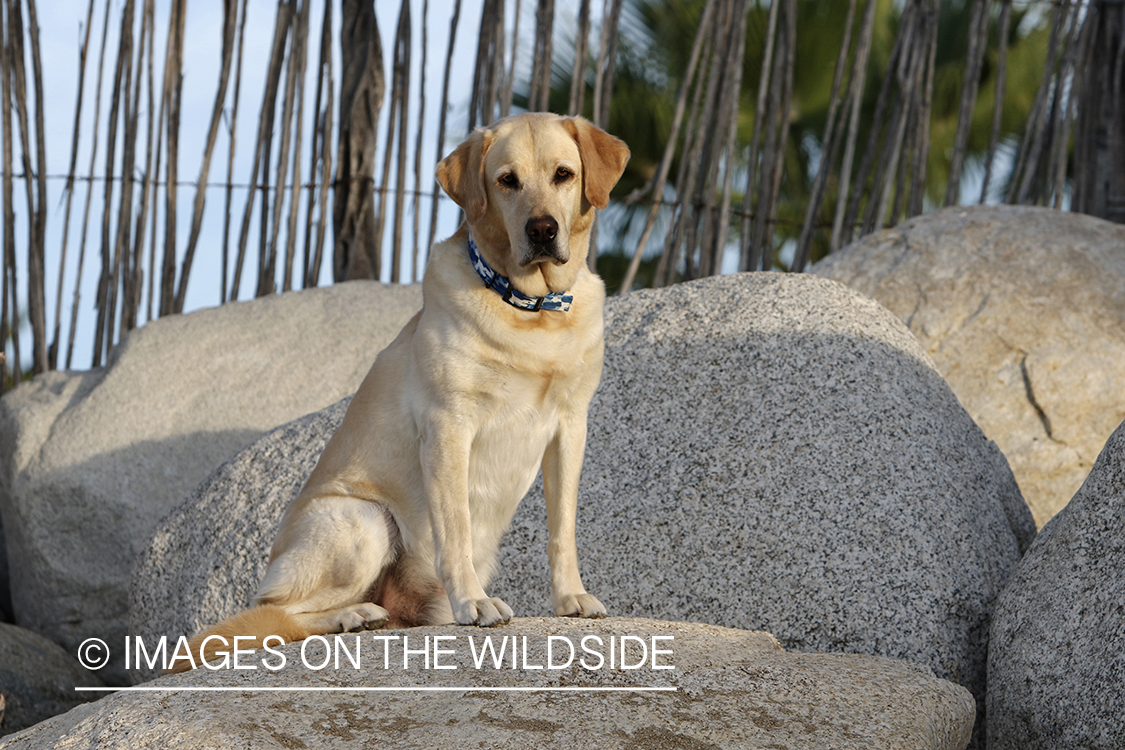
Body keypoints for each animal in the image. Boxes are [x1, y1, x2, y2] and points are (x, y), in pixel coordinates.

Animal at [172, 114, 634, 670]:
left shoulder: (569, 428)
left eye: (564, 174)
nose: (542, 230)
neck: (530, 311)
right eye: (507, 180)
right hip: (364, 520)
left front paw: (570, 598)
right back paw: (351, 616)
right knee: (278, 612)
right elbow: (454, 529)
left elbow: (562, 529)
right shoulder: (448, 428)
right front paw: (474, 601)